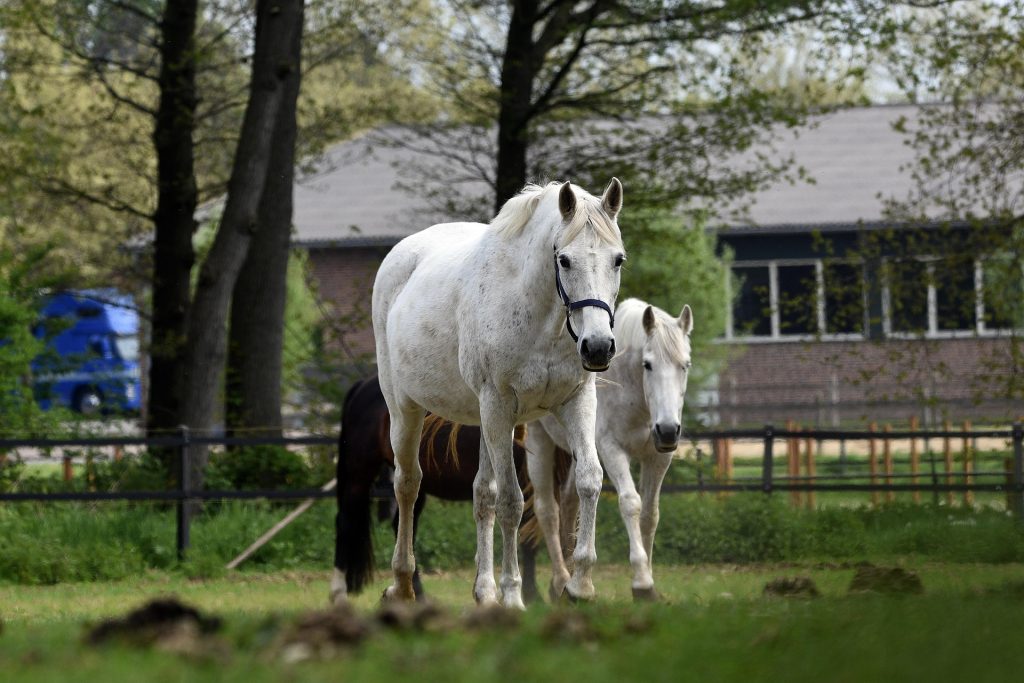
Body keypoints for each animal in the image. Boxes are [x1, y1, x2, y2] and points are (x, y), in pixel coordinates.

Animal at [330, 374, 563, 604]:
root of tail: (362, 386)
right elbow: (528, 538)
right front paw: (535, 594)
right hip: (359, 474)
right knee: (346, 523)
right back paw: (339, 592)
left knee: (402, 524)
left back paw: (417, 593)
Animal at [370, 179, 625, 607]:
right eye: (564, 260)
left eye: (618, 260)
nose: (597, 347)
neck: (540, 316)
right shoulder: (499, 406)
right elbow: (511, 502)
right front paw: (513, 594)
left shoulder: (575, 401)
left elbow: (589, 479)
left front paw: (580, 585)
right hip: (408, 409)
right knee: (408, 484)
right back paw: (403, 585)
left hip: (485, 422)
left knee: (481, 494)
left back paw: (484, 590)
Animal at [526, 298, 693, 601]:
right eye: (647, 365)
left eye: (685, 365)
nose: (667, 430)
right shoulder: (612, 451)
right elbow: (631, 504)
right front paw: (641, 582)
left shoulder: (658, 458)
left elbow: (650, 513)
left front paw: (649, 579)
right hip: (538, 440)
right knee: (547, 510)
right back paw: (560, 582)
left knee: (570, 500)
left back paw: (572, 577)